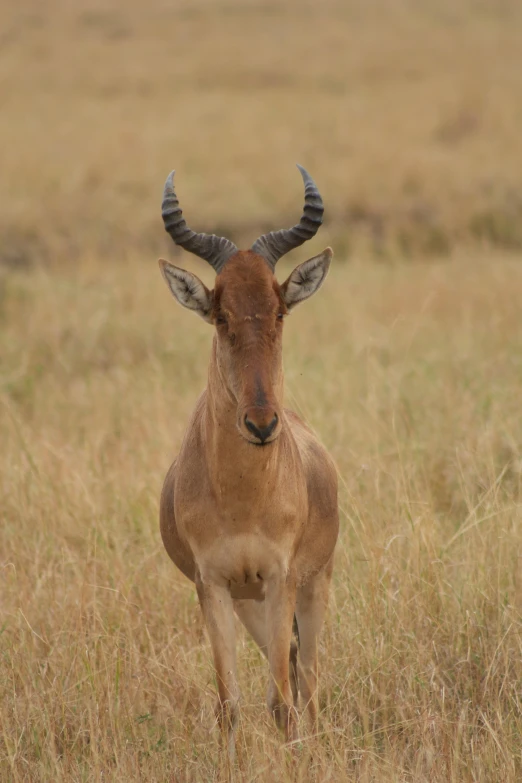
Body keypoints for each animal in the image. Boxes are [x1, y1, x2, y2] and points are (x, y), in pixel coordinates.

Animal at [157, 165, 338, 752]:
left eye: (280, 309)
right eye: (220, 315)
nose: (261, 425)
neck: (242, 499)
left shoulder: (282, 579)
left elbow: (282, 703)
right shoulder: (211, 586)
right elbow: (229, 705)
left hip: (311, 586)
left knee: (308, 681)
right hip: (248, 602)